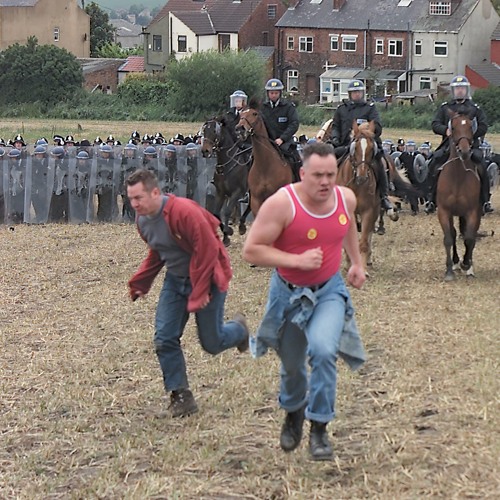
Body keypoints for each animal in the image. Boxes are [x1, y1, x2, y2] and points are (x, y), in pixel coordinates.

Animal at [338, 120, 384, 270]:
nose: (362, 178)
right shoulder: (349, 213)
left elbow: (363, 242)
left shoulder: (369, 211)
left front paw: (363, 269)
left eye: (371, 149)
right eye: (355, 148)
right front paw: (349, 264)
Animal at [436, 110, 482, 282]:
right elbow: (449, 238)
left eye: (470, 126)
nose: (465, 151)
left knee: (471, 236)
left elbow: (469, 238)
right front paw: (449, 270)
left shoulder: (472, 212)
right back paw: (455, 263)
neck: (457, 177)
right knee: (455, 233)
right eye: (453, 128)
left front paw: (466, 264)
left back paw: (468, 266)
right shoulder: (444, 211)